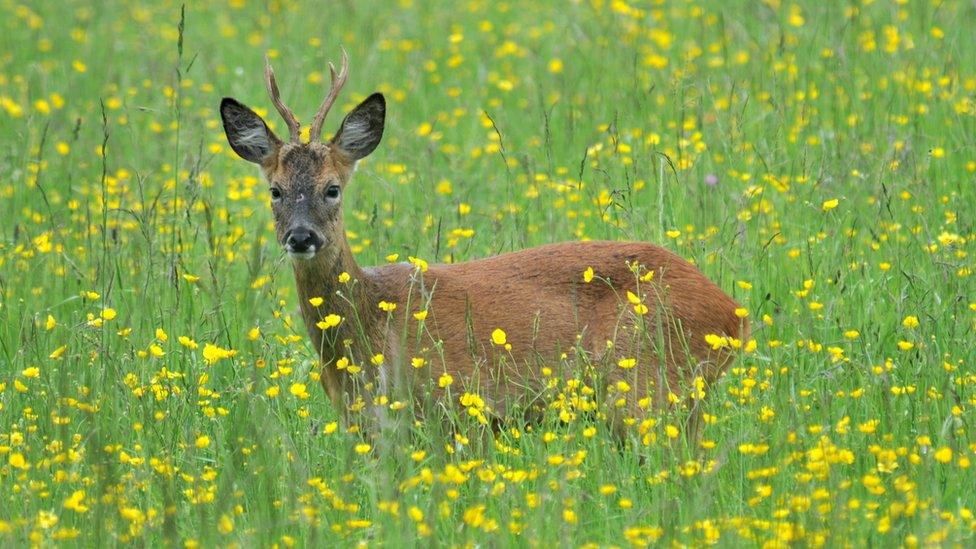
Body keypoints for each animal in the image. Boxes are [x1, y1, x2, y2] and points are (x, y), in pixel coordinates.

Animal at [219, 49, 749, 442]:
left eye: (332, 188)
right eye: (275, 191)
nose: (301, 237)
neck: (371, 326)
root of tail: (734, 314)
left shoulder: (456, 410)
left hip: (648, 388)